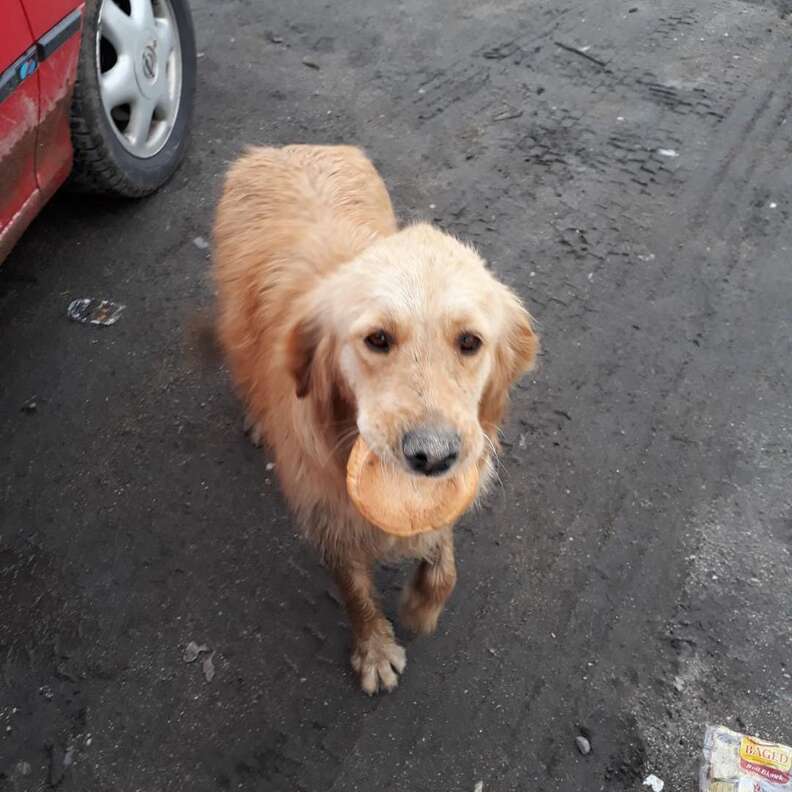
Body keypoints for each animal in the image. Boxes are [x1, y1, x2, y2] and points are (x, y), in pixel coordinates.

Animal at [212, 147, 540, 692]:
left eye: (470, 341)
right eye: (378, 339)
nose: (432, 455)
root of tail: (282, 148)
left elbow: (442, 560)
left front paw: (422, 608)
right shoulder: (328, 513)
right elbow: (354, 590)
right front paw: (375, 648)